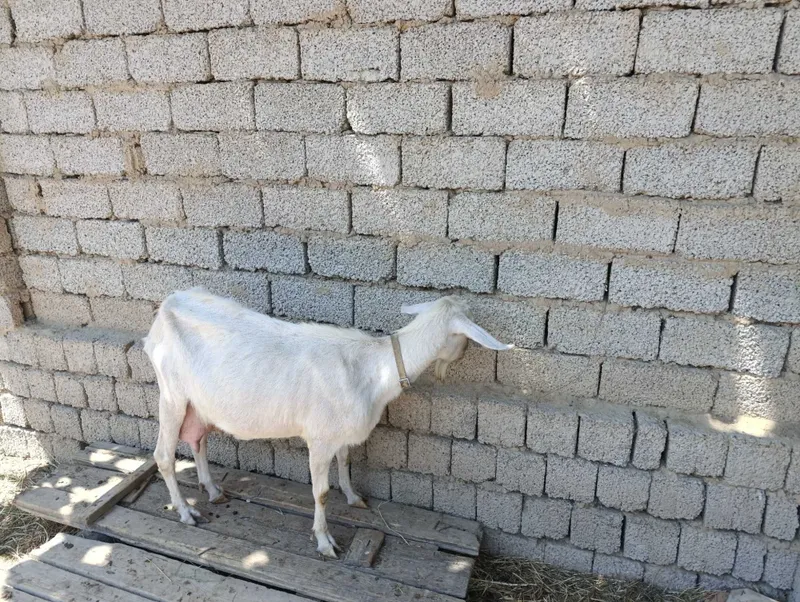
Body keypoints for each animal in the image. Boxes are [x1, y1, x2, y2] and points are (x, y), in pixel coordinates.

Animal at [143, 287, 513, 558]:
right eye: (465, 336)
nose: (460, 358)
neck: (374, 367)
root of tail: (165, 307)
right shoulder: (319, 437)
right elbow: (320, 493)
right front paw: (325, 542)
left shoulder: (340, 433)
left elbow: (345, 461)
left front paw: (353, 496)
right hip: (171, 393)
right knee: (163, 455)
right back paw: (186, 512)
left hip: (197, 402)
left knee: (198, 440)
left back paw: (213, 490)